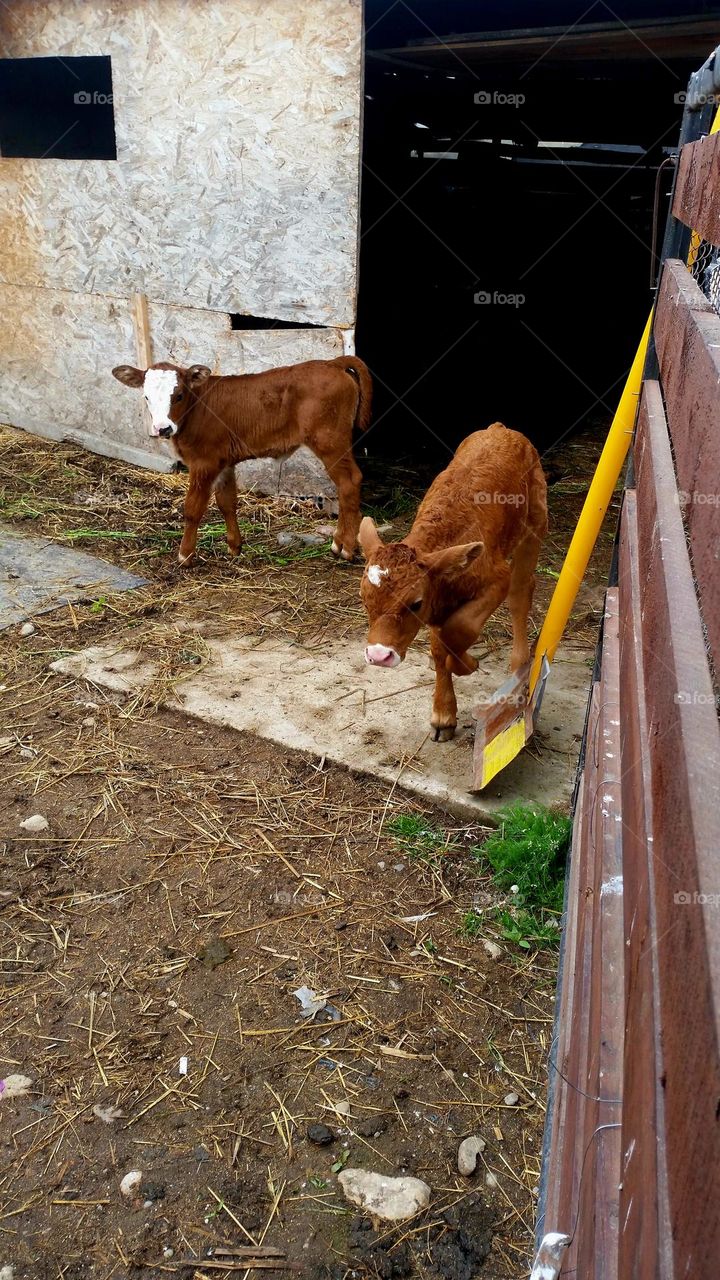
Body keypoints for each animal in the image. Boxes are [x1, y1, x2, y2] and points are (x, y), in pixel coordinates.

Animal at [111, 356, 372, 565]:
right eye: (146, 397)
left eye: (179, 395)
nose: (162, 428)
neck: (197, 407)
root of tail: (332, 363)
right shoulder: (224, 462)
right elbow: (227, 502)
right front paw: (234, 547)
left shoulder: (204, 462)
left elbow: (193, 508)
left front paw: (185, 555)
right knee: (344, 486)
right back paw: (339, 543)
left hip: (330, 441)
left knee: (349, 482)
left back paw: (346, 548)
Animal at [359, 423, 548, 741]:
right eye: (364, 599)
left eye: (415, 603)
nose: (378, 655)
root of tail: (501, 428)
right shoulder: (439, 603)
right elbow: (440, 644)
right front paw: (443, 714)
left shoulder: (497, 578)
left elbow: (458, 631)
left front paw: (468, 665)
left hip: (534, 521)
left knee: (521, 592)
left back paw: (518, 663)